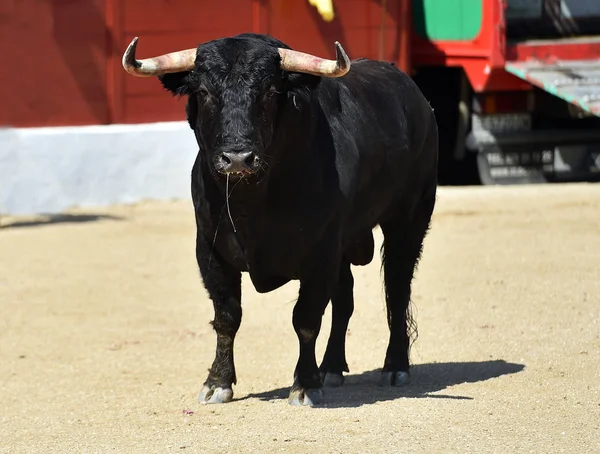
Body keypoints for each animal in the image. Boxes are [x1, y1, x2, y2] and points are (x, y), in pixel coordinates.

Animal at [123, 33, 440, 406]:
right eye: (203, 91)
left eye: (271, 92)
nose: (237, 157)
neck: (252, 204)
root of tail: (416, 97)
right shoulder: (210, 251)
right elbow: (227, 316)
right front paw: (217, 382)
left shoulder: (320, 253)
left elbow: (305, 319)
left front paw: (305, 385)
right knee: (344, 299)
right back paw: (332, 368)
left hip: (408, 219)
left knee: (397, 289)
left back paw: (394, 367)